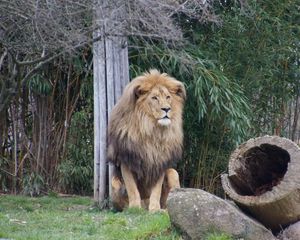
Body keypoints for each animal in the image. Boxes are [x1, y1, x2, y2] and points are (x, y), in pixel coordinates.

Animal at [108, 69, 185, 212]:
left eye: (168, 97)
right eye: (154, 98)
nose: (167, 109)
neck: (151, 130)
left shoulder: (160, 161)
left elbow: (156, 190)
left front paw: (154, 209)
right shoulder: (126, 160)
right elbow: (132, 188)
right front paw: (134, 208)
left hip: (173, 173)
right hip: (114, 182)